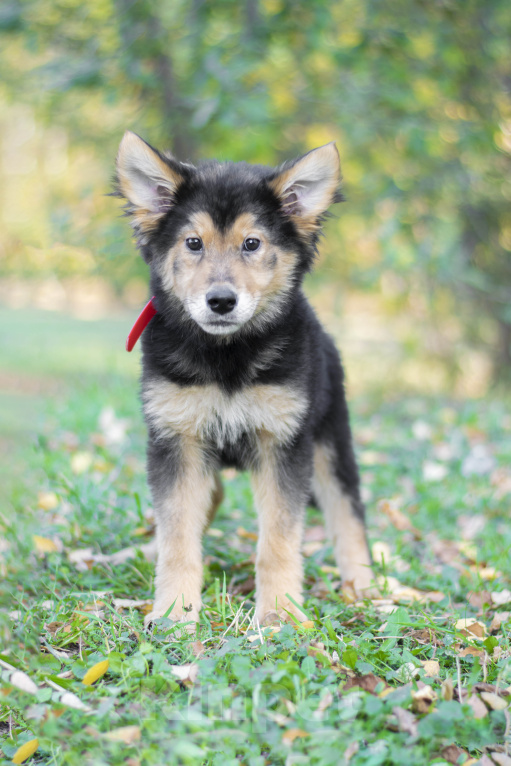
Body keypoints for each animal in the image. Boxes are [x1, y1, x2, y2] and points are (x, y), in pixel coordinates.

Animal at [115, 129, 372, 628]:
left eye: (252, 244)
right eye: (193, 243)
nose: (220, 301)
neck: (227, 357)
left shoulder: (283, 443)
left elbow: (279, 539)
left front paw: (280, 614)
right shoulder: (177, 438)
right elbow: (178, 534)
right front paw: (175, 611)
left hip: (331, 439)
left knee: (347, 511)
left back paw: (364, 584)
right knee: (205, 499)